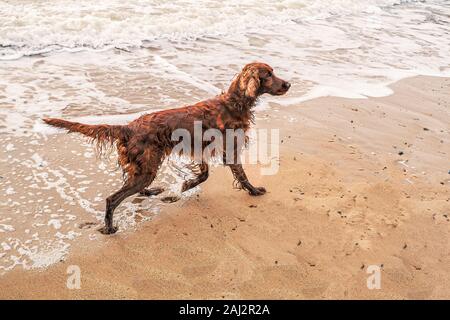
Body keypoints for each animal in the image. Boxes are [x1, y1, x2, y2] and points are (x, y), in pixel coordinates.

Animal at [44, 62, 290, 234]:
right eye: (268, 74)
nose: (288, 84)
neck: (233, 103)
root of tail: (128, 127)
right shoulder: (230, 150)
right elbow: (241, 175)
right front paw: (254, 191)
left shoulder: (201, 148)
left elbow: (204, 175)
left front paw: (187, 184)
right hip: (147, 167)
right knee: (112, 199)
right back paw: (110, 228)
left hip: (143, 167)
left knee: (132, 186)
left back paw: (149, 192)